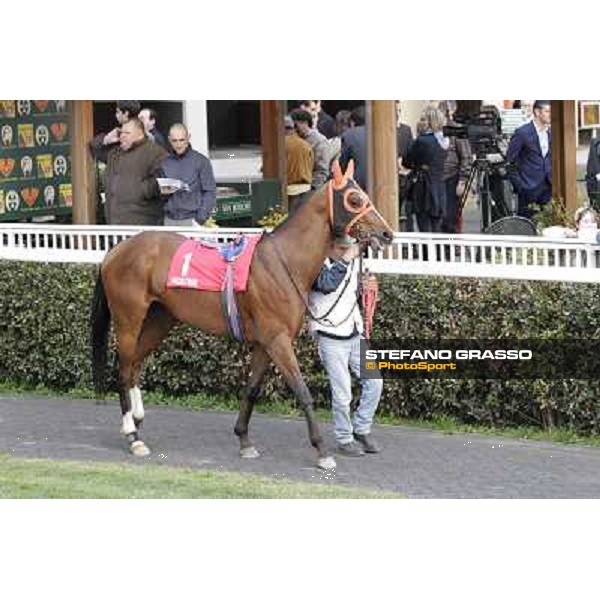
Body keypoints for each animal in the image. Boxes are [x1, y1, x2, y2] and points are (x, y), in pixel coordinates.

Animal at [91, 162, 394, 472]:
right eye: (355, 199)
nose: (386, 234)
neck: (284, 262)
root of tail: (115, 250)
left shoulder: (264, 343)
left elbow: (251, 389)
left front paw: (244, 440)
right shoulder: (278, 340)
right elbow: (301, 390)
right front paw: (321, 451)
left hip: (160, 319)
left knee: (135, 365)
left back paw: (137, 418)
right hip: (128, 319)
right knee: (123, 368)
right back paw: (133, 435)